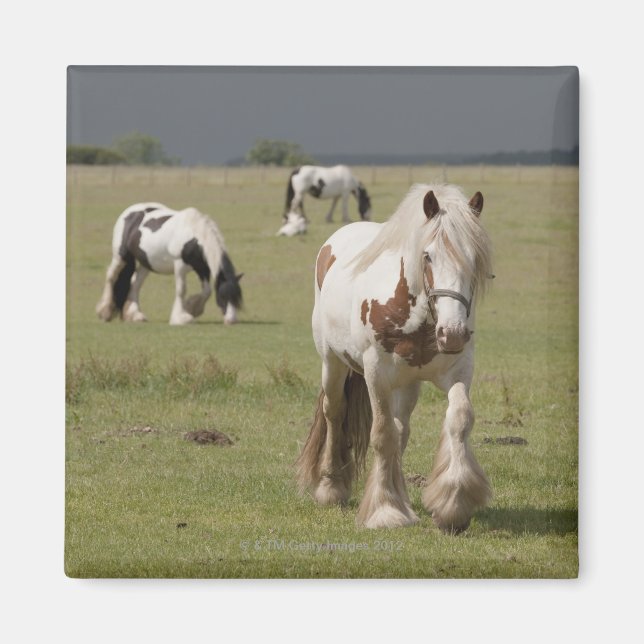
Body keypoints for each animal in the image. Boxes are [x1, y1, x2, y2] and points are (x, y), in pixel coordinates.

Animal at [96, 203, 243, 326]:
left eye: (237, 299)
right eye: (223, 296)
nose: (231, 321)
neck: (194, 235)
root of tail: (130, 211)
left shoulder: (202, 267)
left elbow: (207, 291)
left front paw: (191, 308)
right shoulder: (180, 265)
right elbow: (181, 289)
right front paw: (181, 318)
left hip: (146, 263)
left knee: (135, 284)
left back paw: (135, 315)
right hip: (121, 256)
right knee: (111, 276)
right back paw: (105, 311)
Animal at [296, 183, 494, 533]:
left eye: (474, 258)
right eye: (428, 255)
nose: (453, 333)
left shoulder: (458, 370)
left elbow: (459, 419)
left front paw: (454, 504)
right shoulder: (376, 374)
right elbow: (382, 434)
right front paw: (385, 510)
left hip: (408, 384)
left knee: (401, 429)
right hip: (332, 363)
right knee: (334, 411)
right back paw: (331, 487)